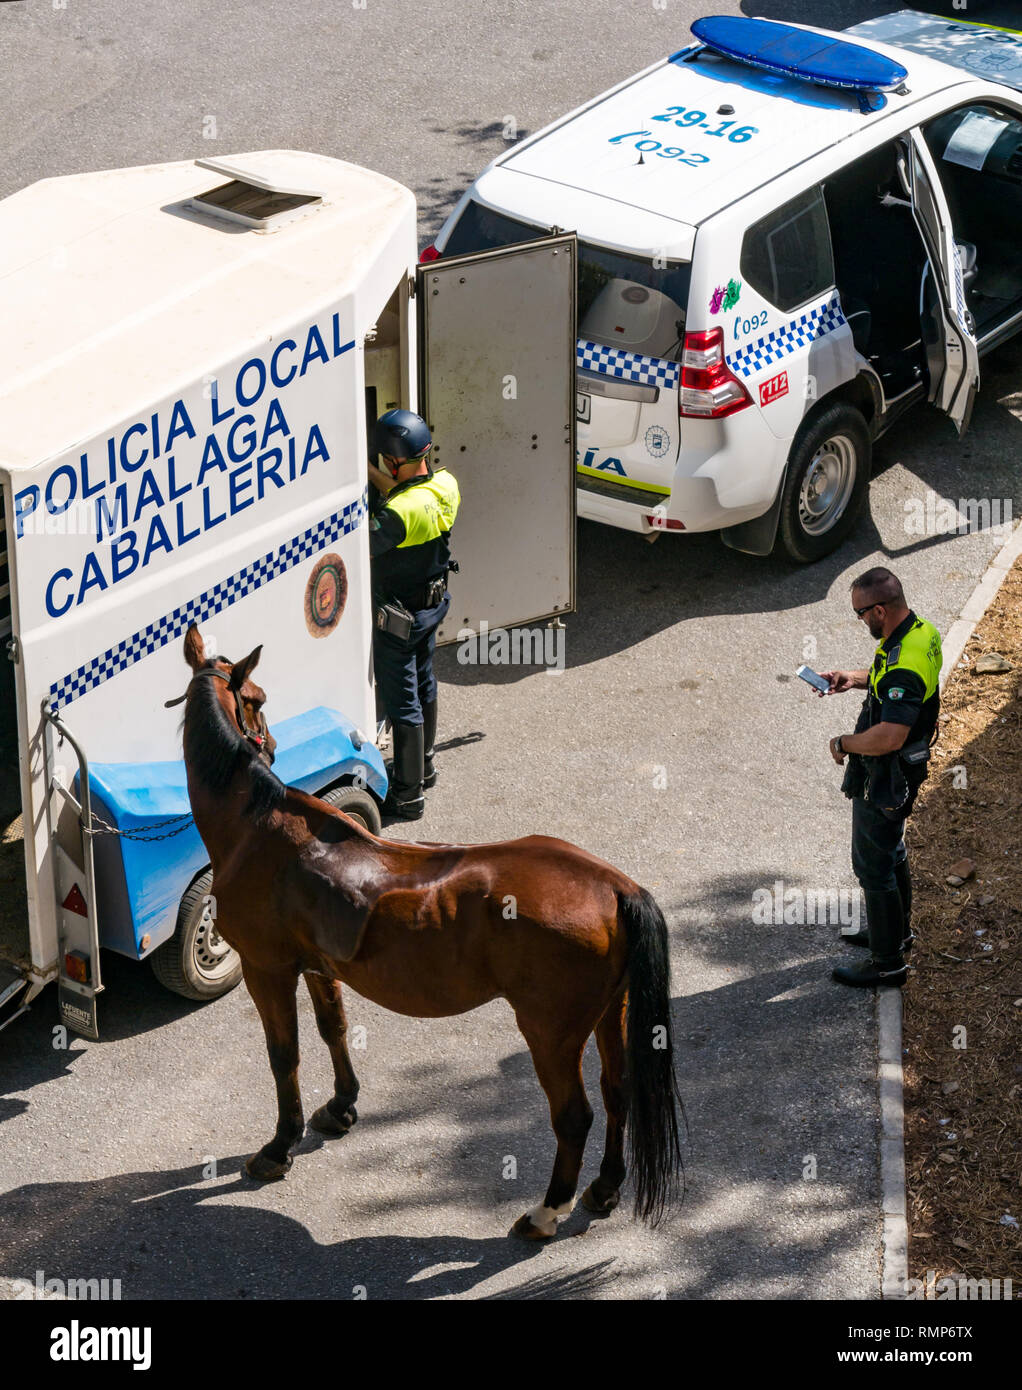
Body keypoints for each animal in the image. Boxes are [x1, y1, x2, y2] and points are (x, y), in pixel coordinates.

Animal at [175, 628, 684, 1239]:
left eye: (257, 696)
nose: (271, 743)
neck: (257, 822)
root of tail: (612, 883)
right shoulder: (318, 968)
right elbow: (333, 1029)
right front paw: (340, 1107)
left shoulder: (266, 969)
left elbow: (284, 1054)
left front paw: (280, 1145)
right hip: (613, 1012)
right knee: (617, 1093)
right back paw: (604, 1188)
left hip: (551, 1035)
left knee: (574, 1117)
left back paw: (547, 1211)